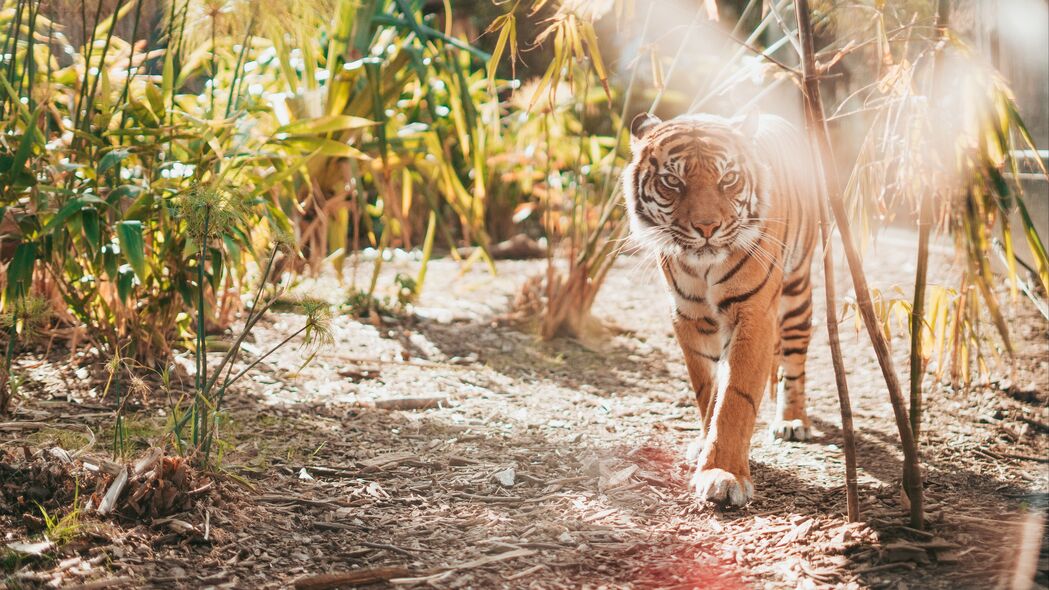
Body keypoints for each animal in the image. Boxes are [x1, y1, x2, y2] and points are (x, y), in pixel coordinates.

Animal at [621, 111, 818, 506]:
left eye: (728, 179)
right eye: (672, 181)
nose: (707, 227)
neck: (703, 267)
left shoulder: (753, 313)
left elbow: (734, 398)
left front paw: (723, 474)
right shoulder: (689, 317)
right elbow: (707, 389)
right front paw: (704, 444)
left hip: (796, 292)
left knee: (794, 361)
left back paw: (792, 420)